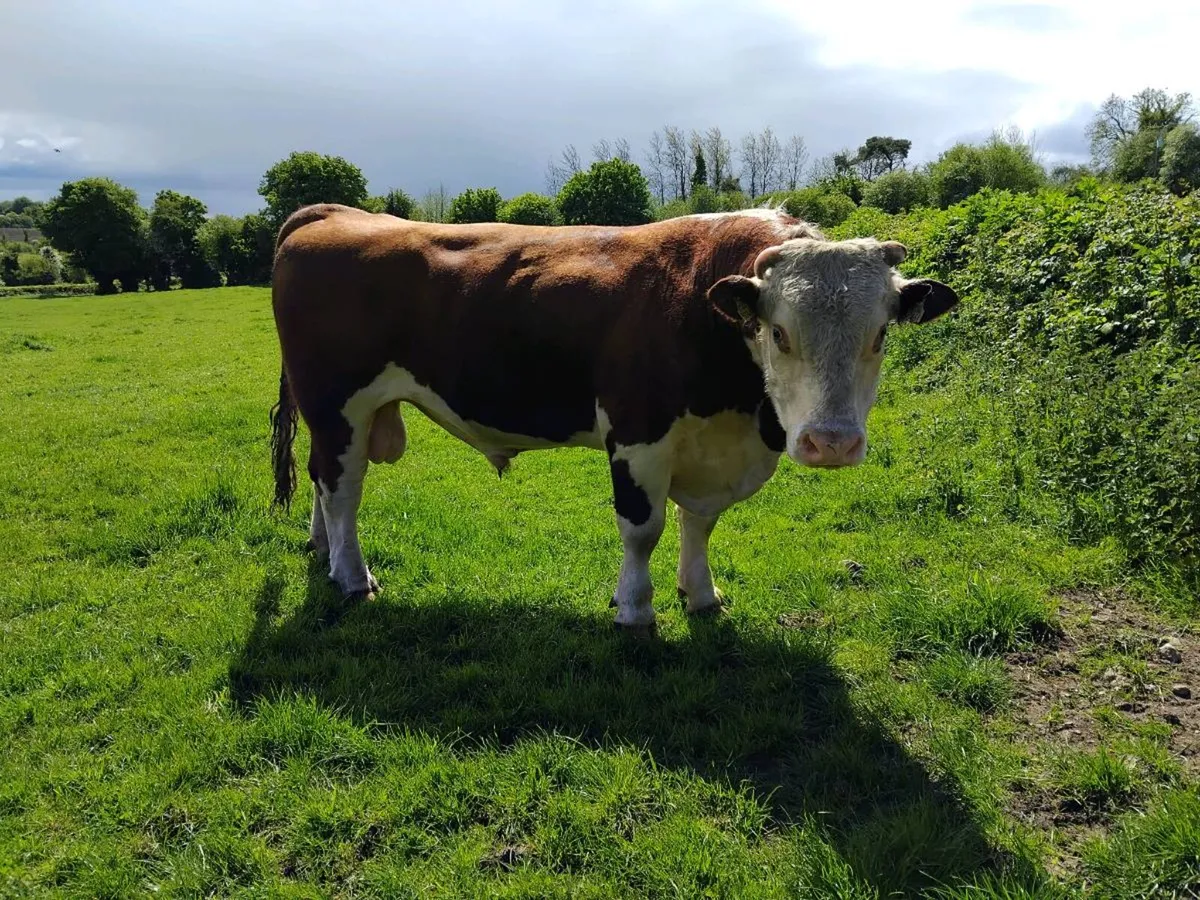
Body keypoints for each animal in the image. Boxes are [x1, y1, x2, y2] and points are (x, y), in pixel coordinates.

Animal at [268, 204, 958, 632]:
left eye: (880, 335)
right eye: (780, 333)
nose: (830, 442)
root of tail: (332, 213)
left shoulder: (711, 450)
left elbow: (699, 524)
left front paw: (701, 596)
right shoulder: (638, 435)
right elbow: (643, 529)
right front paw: (636, 610)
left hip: (342, 413)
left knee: (325, 480)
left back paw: (324, 551)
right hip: (337, 401)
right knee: (343, 489)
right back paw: (352, 576)